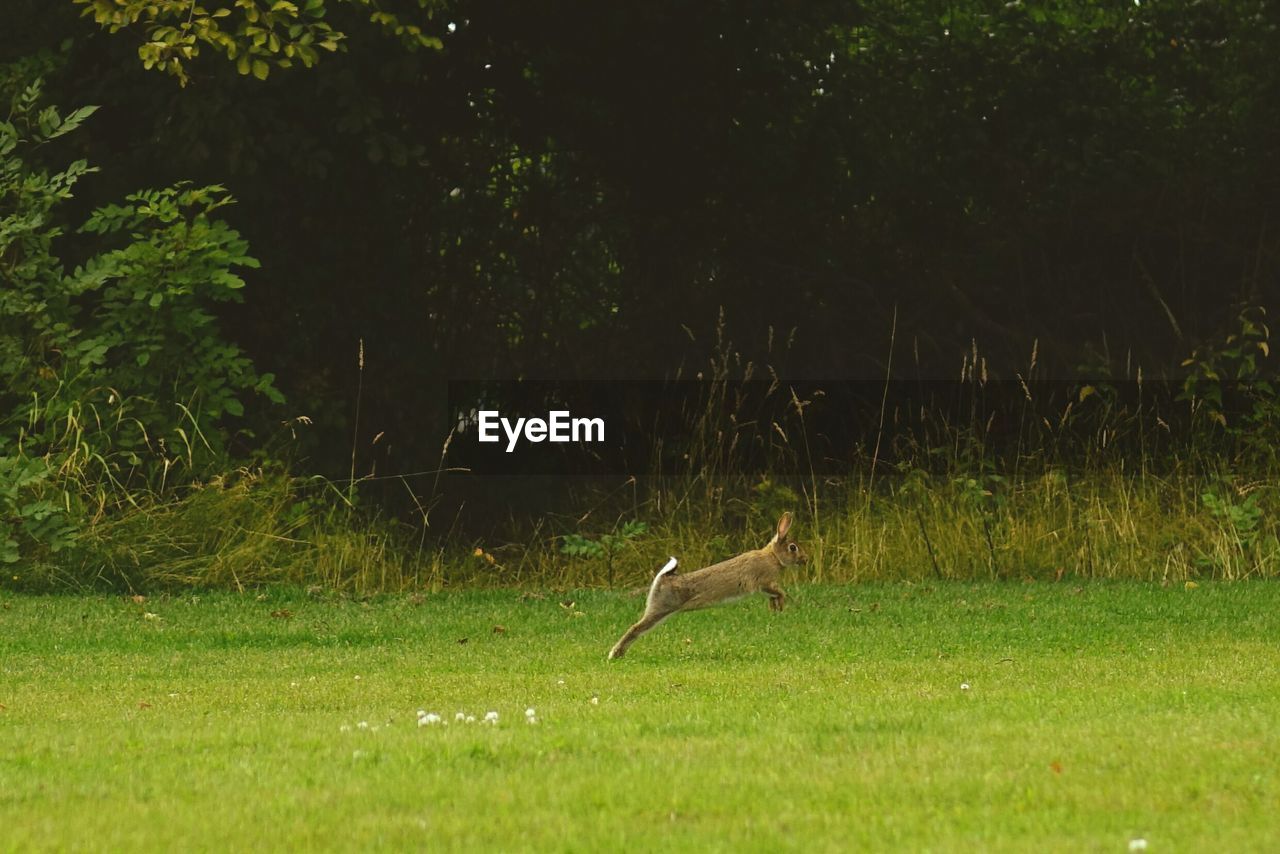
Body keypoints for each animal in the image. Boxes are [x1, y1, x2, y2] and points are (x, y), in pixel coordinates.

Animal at [604, 514, 803, 660]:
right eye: (793, 548)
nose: (805, 559)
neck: (773, 556)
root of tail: (663, 579)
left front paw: (776, 608)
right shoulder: (763, 581)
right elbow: (777, 591)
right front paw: (782, 603)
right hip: (661, 608)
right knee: (635, 629)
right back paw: (615, 654)